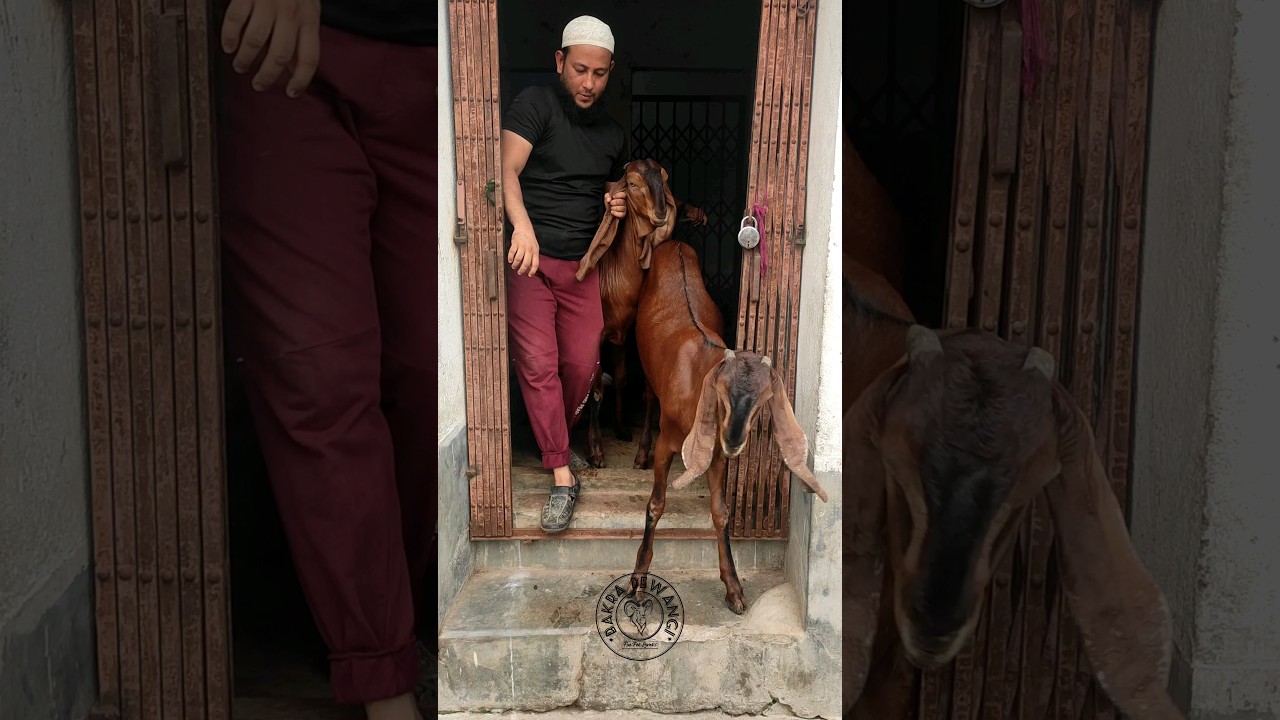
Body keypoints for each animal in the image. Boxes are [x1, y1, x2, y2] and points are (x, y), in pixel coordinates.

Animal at [575, 159, 706, 467]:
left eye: (664, 177)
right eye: (632, 183)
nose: (660, 213)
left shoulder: (629, 333)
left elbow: (626, 380)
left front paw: (624, 430)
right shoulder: (598, 337)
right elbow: (595, 391)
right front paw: (596, 451)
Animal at [627, 240, 828, 614]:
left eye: (764, 399)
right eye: (721, 393)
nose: (734, 439)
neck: (695, 379)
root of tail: (675, 243)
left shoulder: (716, 454)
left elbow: (721, 512)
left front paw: (733, 587)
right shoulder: (669, 441)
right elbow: (656, 504)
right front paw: (638, 580)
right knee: (647, 398)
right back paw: (639, 453)